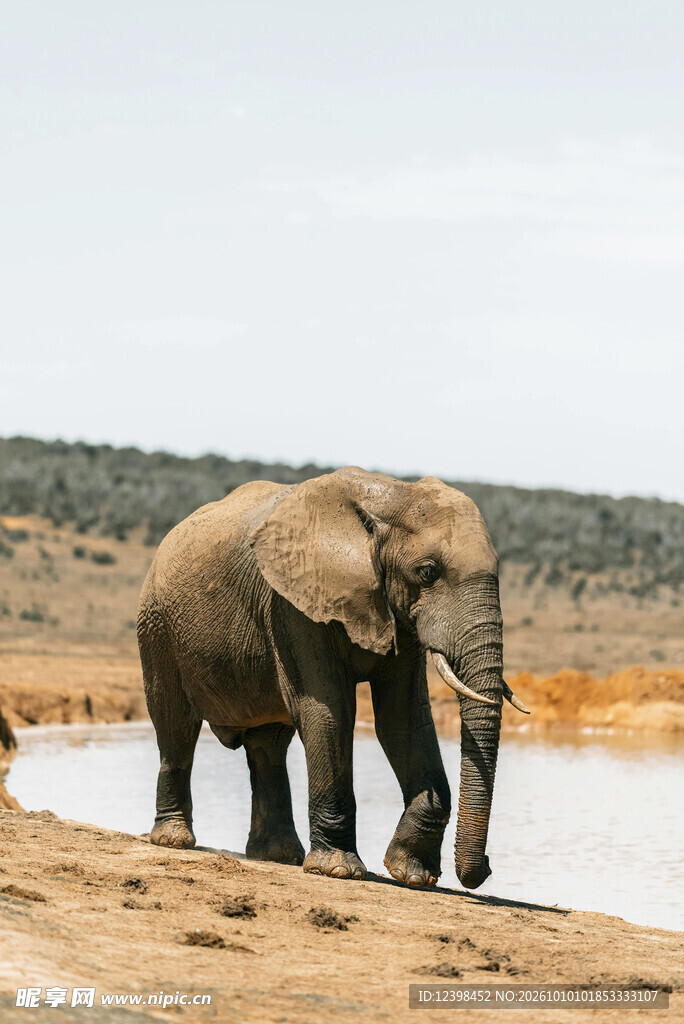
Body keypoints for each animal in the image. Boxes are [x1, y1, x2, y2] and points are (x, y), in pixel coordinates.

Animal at [137, 467, 527, 890]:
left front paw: (413, 875)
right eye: (428, 572)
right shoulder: (293, 605)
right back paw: (174, 840)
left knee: (268, 745)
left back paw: (279, 856)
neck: (392, 495)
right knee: (175, 726)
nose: (485, 868)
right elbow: (329, 710)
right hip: (156, 625)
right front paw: (340, 871)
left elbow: (403, 718)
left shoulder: (397, 616)